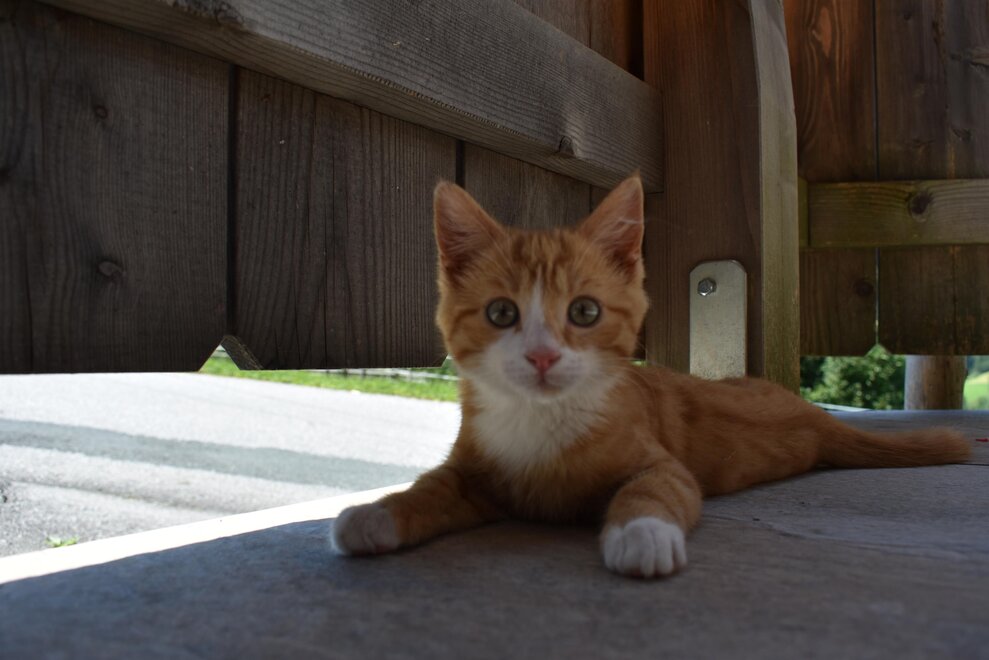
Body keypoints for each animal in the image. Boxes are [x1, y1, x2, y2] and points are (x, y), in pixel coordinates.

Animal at [330, 175, 971, 578]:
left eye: (585, 311)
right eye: (502, 314)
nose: (542, 357)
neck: (543, 423)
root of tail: (811, 414)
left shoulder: (661, 461)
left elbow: (655, 486)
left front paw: (642, 533)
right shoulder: (475, 468)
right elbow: (433, 487)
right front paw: (378, 512)